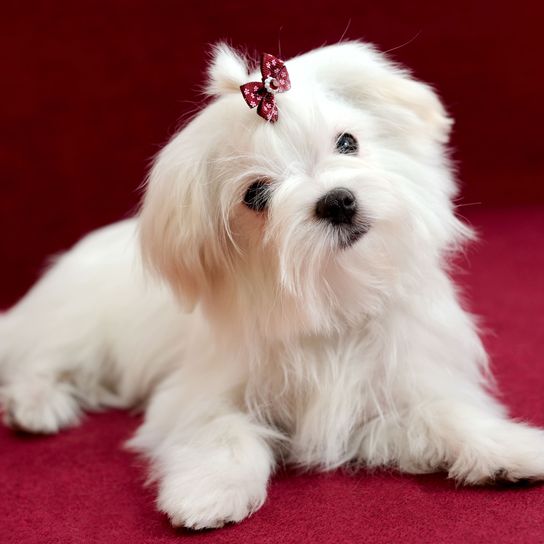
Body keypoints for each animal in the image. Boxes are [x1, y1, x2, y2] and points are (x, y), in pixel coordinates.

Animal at [1, 41, 544, 528]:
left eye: (348, 142)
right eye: (256, 195)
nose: (337, 200)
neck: (334, 297)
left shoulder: (390, 391)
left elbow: (444, 414)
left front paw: (508, 448)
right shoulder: (197, 395)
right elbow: (220, 430)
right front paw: (208, 493)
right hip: (76, 326)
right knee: (41, 362)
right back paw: (37, 406)